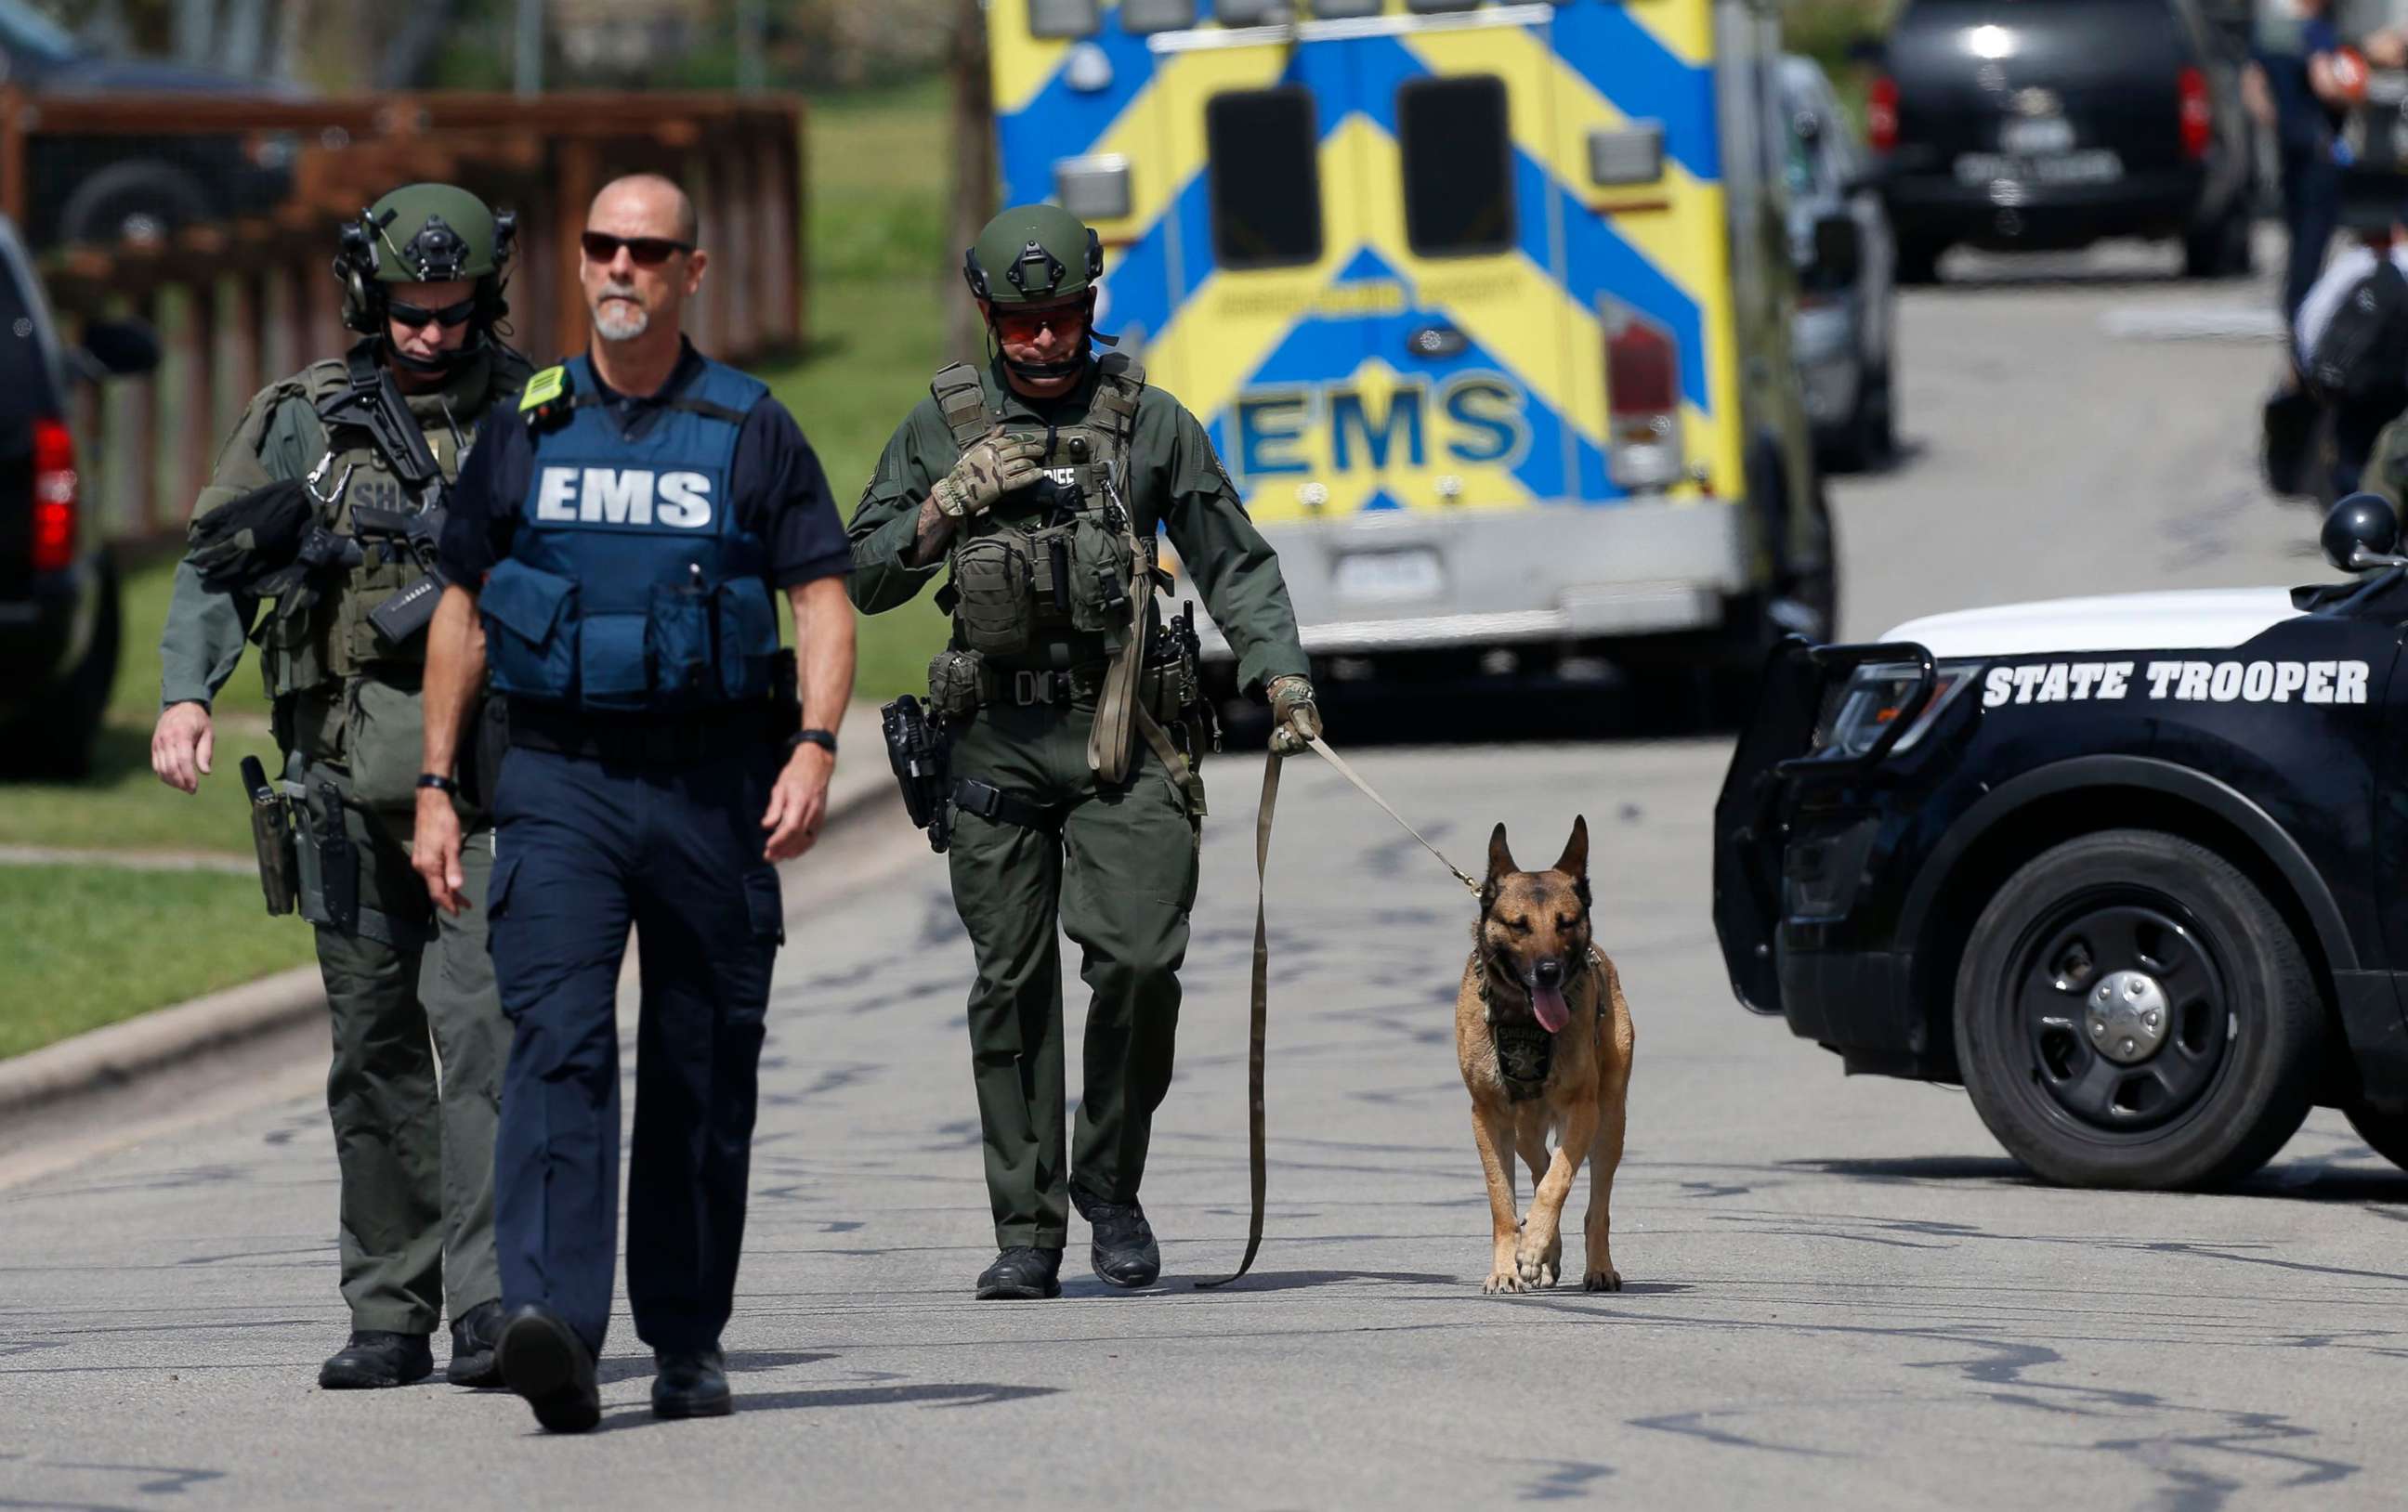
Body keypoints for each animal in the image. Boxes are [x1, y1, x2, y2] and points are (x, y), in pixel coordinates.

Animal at [1445, 818, 1637, 1290]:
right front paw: (1508, 1266)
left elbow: (1558, 1182)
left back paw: (1595, 1265)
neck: (1523, 1018)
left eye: (1565, 923)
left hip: (1610, 1122)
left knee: (1594, 1203)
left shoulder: (1582, 1109)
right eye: (1519, 925)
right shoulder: (1488, 1117)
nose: (1548, 971)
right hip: (1524, 1129)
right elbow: (1503, 1200)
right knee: (1539, 1163)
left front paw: (1532, 1249)